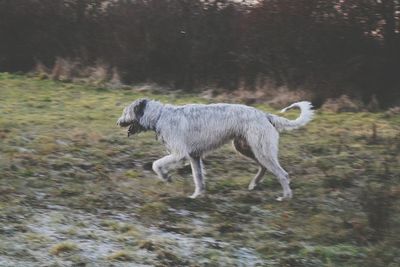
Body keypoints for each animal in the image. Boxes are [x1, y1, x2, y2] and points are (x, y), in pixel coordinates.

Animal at [117, 99, 314, 201]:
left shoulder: (179, 154)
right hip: (248, 148)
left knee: (282, 174)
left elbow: (156, 164)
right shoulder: (194, 156)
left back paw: (285, 197)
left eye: (126, 112)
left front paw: (166, 177)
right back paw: (254, 184)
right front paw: (196, 196)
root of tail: (264, 114)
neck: (159, 116)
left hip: (260, 150)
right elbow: (198, 178)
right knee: (264, 168)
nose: (118, 122)